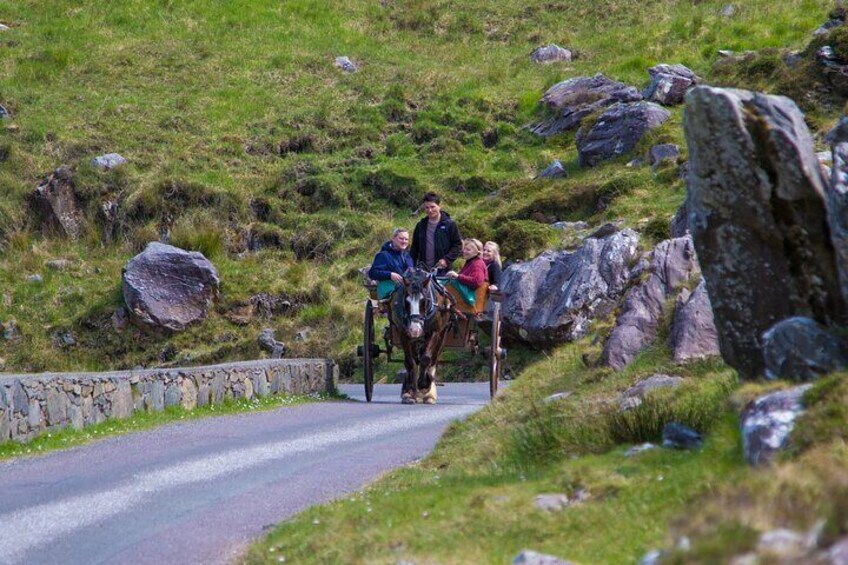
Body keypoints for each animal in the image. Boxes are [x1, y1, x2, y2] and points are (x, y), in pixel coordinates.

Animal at [390, 266, 458, 404]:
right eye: (406, 301)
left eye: (424, 300)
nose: (415, 329)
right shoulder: (403, 333)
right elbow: (409, 362)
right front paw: (410, 391)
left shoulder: (434, 332)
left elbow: (426, 358)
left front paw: (424, 384)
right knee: (415, 361)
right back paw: (412, 393)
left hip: (442, 335)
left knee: (433, 359)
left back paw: (429, 394)